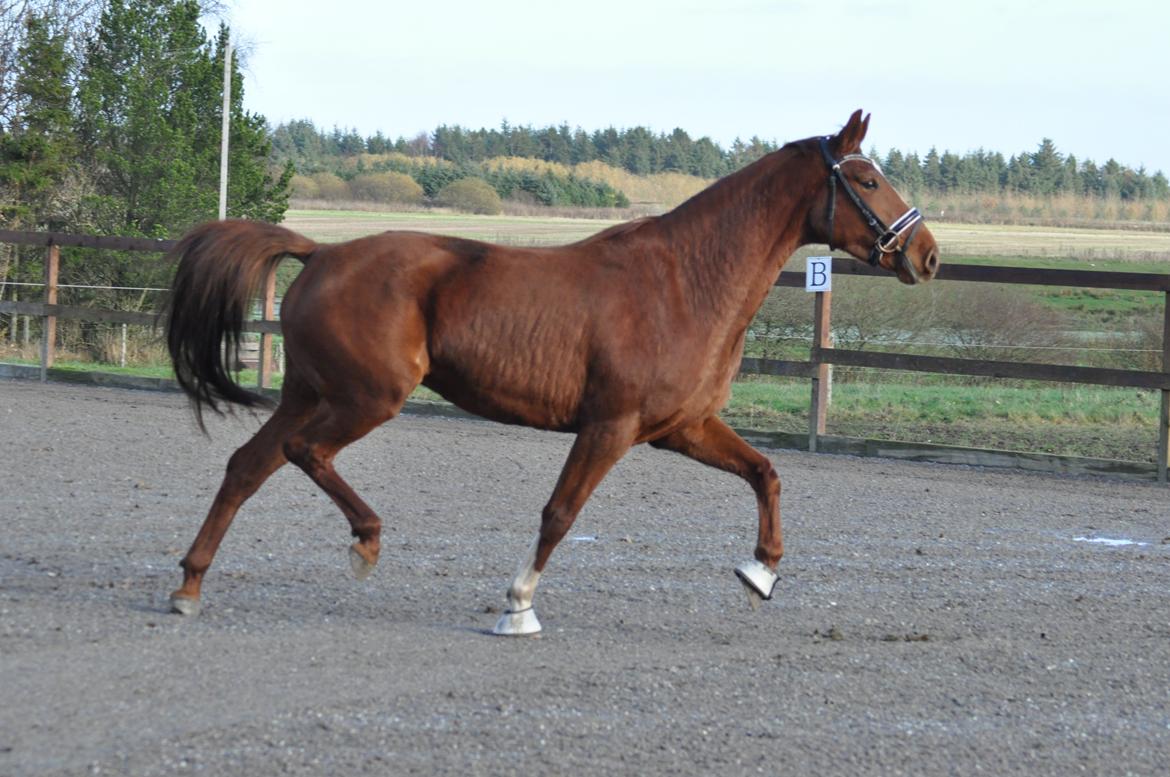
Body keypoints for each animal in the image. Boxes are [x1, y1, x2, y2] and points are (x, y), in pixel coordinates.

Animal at [162, 109, 940, 636]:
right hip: (365, 398)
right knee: (303, 452)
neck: (685, 281)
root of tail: (320, 252)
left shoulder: (682, 426)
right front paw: (518, 605)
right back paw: (366, 540)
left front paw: (761, 572)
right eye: (868, 178)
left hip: (309, 391)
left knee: (247, 466)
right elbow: (560, 513)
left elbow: (765, 473)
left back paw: (190, 586)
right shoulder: (610, 426)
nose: (926, 254)